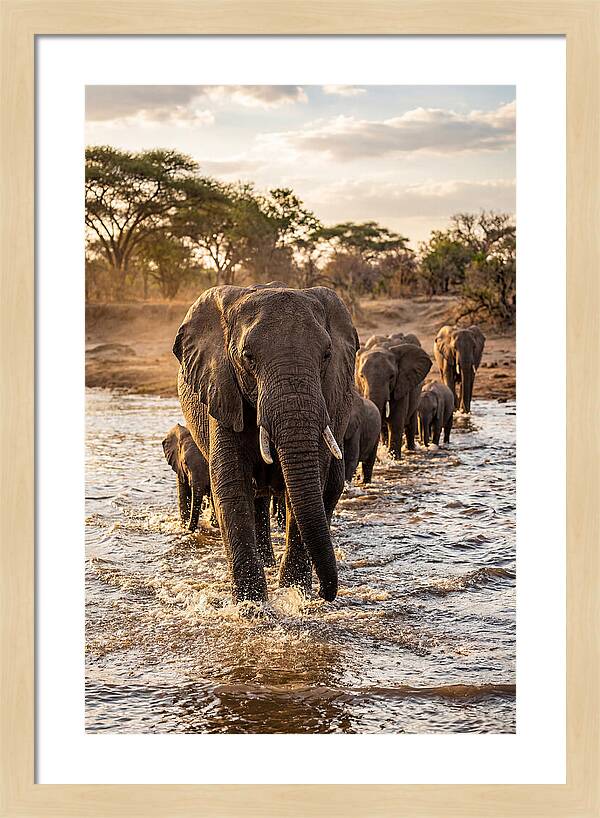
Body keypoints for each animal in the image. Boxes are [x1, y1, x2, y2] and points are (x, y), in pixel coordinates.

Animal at [173, 283, 358, 604]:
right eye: (248, 357)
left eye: (327, 355)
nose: (327, 593)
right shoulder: (222, 390)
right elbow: (231, 485)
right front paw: (252, 606)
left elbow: (310, 483)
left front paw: (295, 594)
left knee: (326, 489)